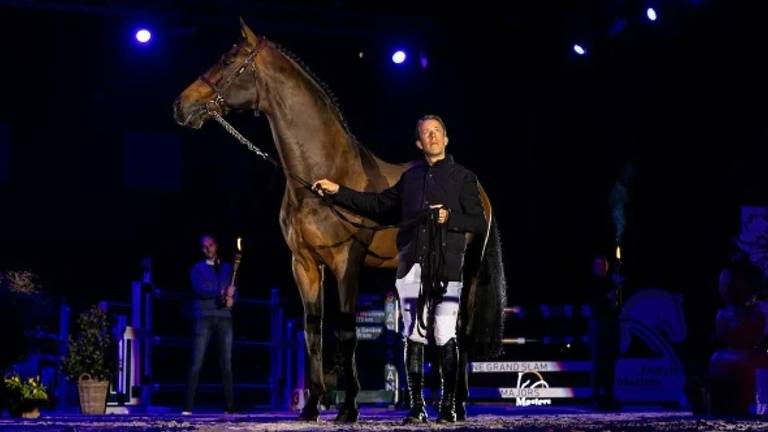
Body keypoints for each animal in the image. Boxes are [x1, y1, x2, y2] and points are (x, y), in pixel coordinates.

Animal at [176, 20, 508, 422]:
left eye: (227, 61)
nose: (181, 105)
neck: (318, 175)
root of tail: (479, 190)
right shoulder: (304, 264)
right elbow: (313, 329)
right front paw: (312, 406)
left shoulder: (345, 263)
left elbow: (347, 331)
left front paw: (349, 407)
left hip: (467, 272)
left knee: (461, 329)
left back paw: (457, 406)